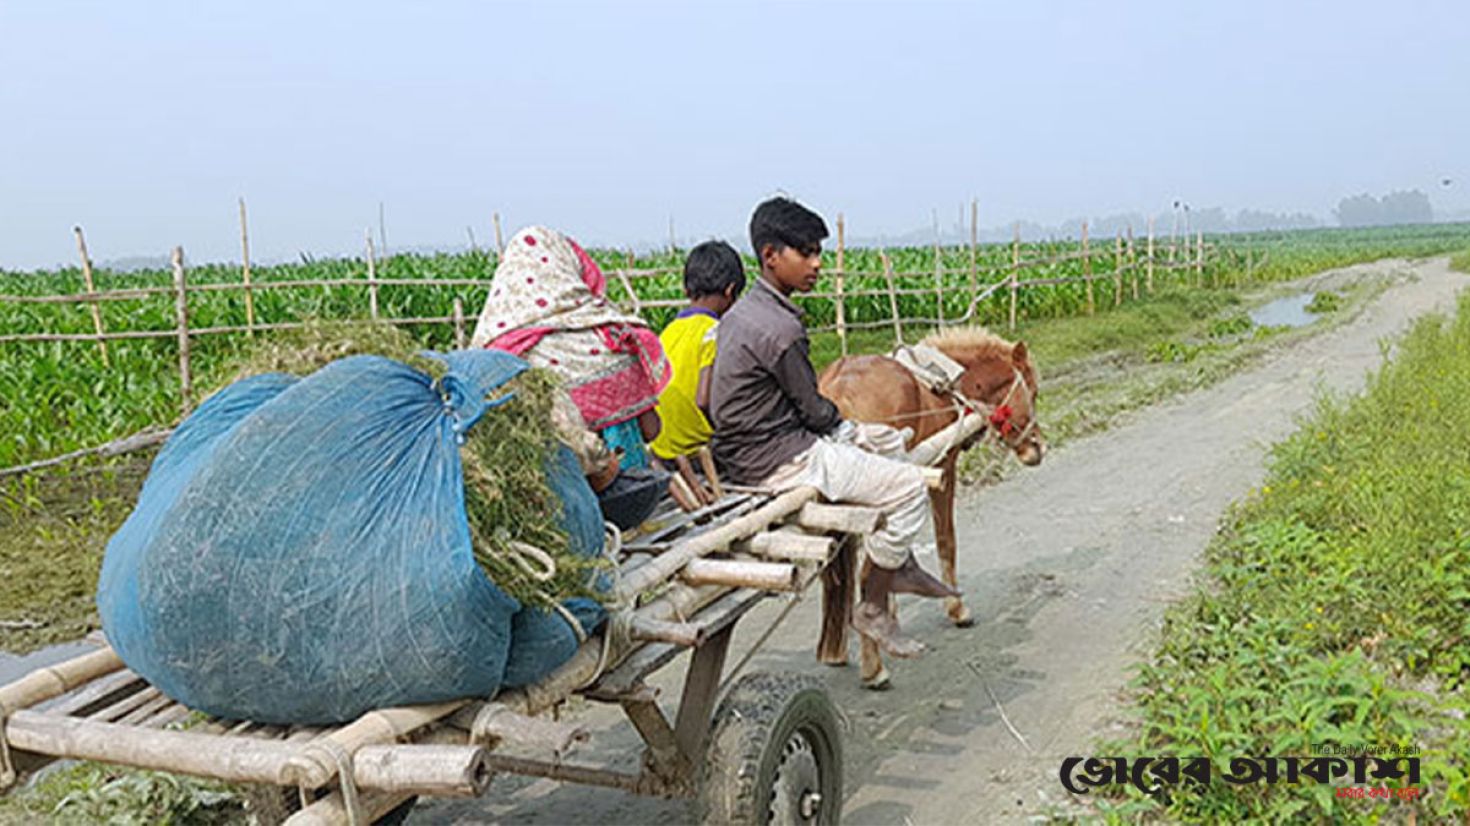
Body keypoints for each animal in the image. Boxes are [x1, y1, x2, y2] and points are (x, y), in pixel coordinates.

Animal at [817, 324, 1046, 684]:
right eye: (1032, 392)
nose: (1037, 449)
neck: (950, 385)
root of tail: (837, 387)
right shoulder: (942, 468)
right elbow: (946, 540)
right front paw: (957, 609)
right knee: (866, 568)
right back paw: (873, 665)